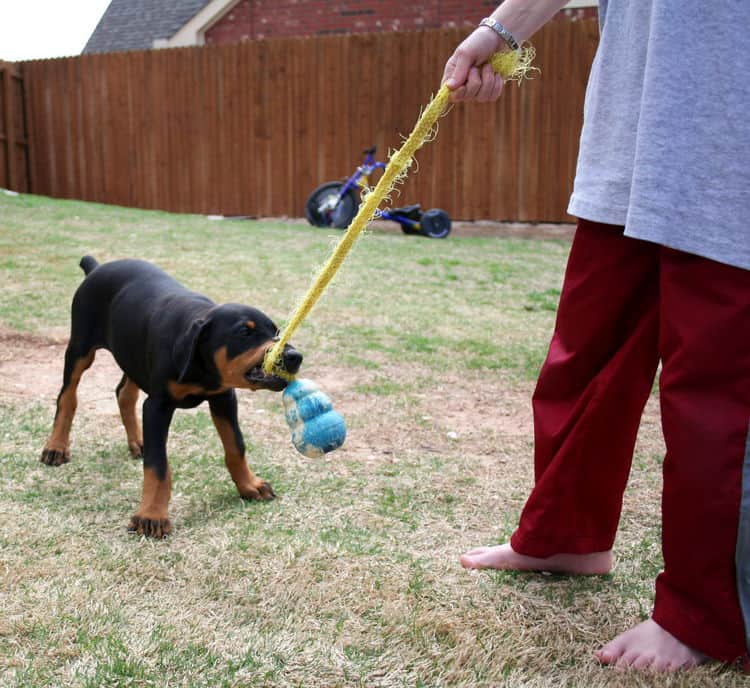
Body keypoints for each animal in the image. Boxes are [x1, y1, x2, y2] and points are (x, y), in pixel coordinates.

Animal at [41, 256, 302, 536]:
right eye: (245, 332)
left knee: (124, 394)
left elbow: (236, 445)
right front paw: (152, 516)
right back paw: (56, 448)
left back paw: (138, 442)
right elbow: (158, 466)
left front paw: (249, 485)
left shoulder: (223, 398)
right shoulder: (158, 405)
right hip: (80, 348)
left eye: (277, 332)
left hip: (133, 356)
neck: (201, 368)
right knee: (67, 397)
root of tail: (96, 267)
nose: (295, 357)